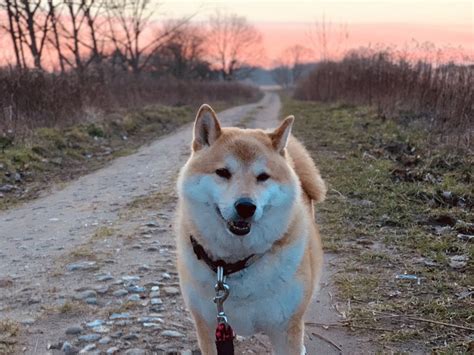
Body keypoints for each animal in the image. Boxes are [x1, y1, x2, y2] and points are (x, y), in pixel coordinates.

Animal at [175, 105, 326, 355]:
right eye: (222, 172)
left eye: (263, 177)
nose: (246, 206)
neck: (234, 265)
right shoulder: (208, 325)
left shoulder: (285, 329)